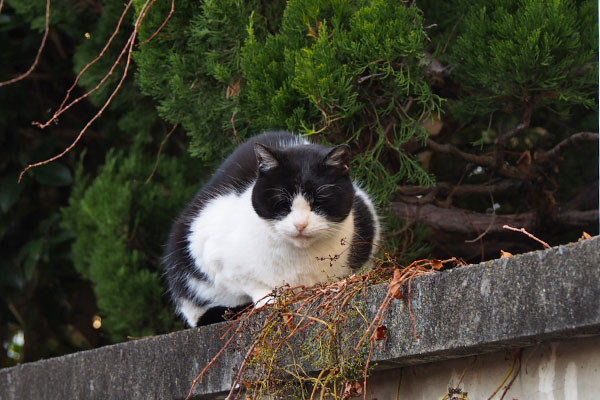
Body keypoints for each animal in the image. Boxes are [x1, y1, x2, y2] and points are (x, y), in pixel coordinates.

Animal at [164, 130, 380, 326]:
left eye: (319, 202)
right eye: (282, 202)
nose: (300, 225)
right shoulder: (211, 252)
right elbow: (251, 283)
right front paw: (269, 299)